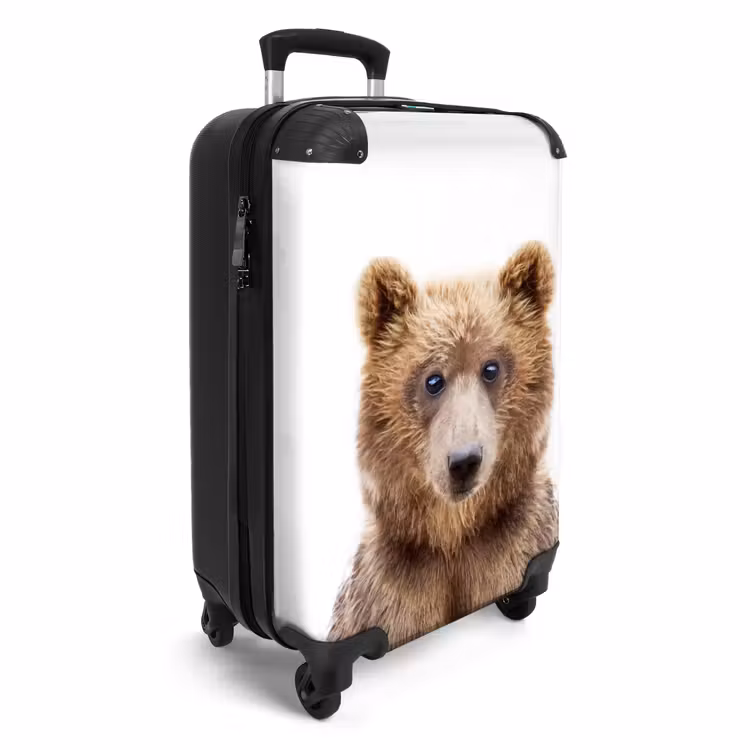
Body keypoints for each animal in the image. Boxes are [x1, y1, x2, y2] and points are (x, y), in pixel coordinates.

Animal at [328, 241, 559, 650]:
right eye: (433, 380)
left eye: (491, 368)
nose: (464, 461)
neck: (454, 536)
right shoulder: (389, 593)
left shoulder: (518, 543)